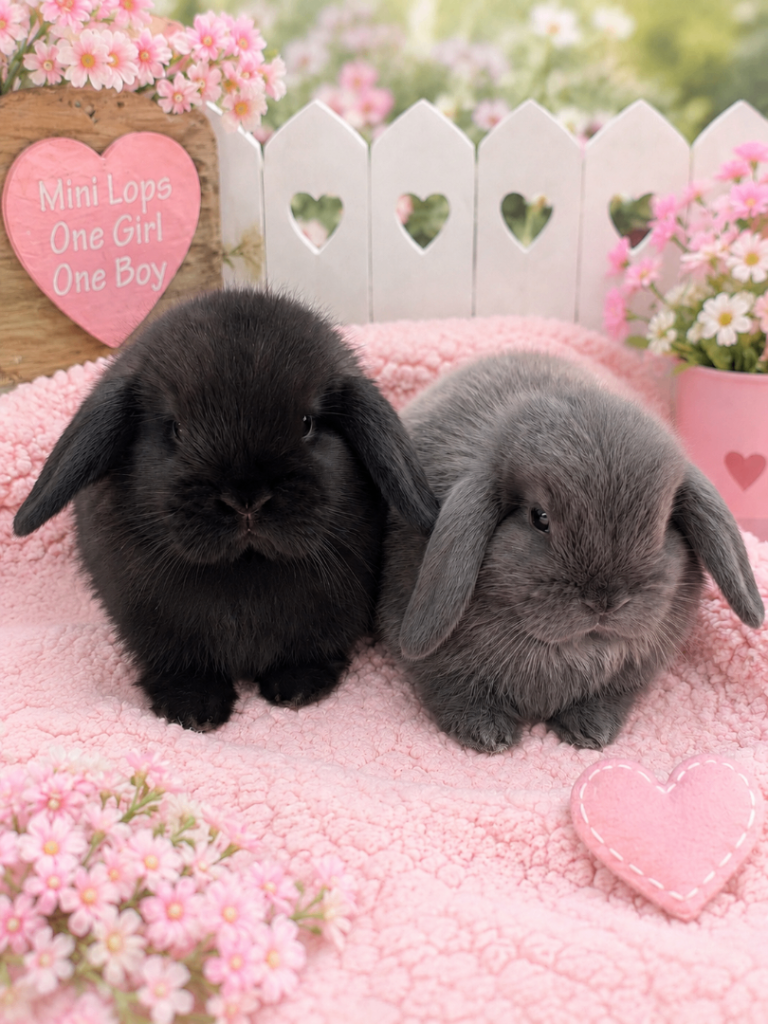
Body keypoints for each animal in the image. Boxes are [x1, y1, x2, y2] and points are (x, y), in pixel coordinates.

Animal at [14, 288, 439, 731]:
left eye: (306, 423)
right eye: (176, 428)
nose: (246, 499)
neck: (244, 568)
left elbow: (312, 652)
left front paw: (299, 688)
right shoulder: (149, 628)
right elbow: (179, 667)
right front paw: (192, 710)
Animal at [377, 350, 764, 753]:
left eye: (660, 525)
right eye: (540, 518)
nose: (605, 602)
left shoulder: (627, 678)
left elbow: (607, 698)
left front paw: (591, 732)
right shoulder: (438, 669)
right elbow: (451, 690)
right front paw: (487, 734)